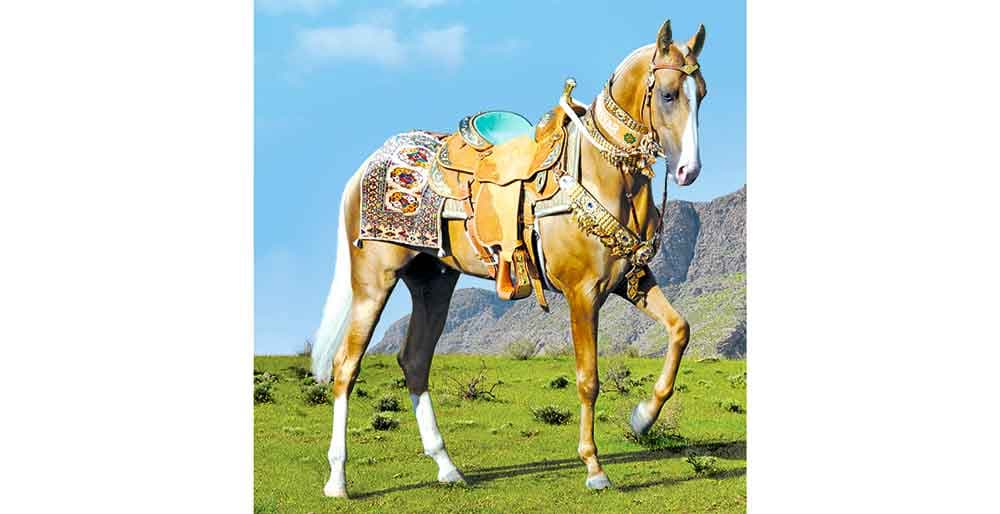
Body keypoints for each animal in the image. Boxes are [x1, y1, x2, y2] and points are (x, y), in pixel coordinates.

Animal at [311, 19, 708, 497]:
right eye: (667, 94)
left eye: (702, 93)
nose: (688, 170)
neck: (602, 173)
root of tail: (364, 169)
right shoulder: (583, 293)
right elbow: (588, 379)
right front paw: (594, 467)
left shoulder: (633, 280)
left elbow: (680, 330)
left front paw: (643, 417)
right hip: (374, 280)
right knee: (346, 367)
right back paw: (337, 480)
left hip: (433, 282)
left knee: (415, 361)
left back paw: (447, 467)